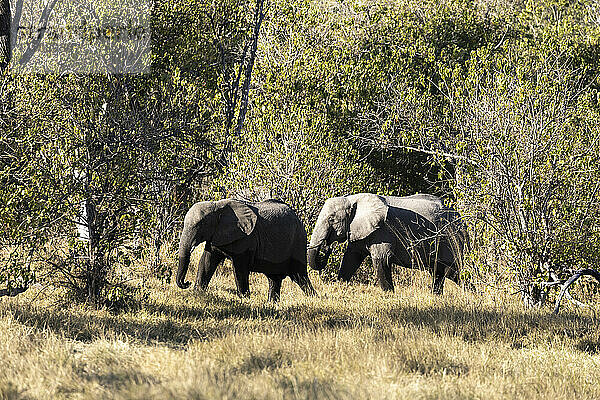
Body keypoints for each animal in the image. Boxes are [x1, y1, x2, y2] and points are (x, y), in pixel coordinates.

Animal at [176, 198, 316, 302]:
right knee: (274, 279)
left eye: (200, 225)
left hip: (297, 242)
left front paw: (244, 299)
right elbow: (207, 261)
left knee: (300, 276)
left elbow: (240, 268)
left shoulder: (246, 238)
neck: (217, 206)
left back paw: (313, 299)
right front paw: (197, 292)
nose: (186, 282)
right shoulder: (216, 235)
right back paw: (272, 303)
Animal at [310, 193, 468, 294]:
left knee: (451, 271)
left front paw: (389, 295)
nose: (327, 247)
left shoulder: (383, 231)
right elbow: (351, 258)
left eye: (331, 219)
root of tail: (461, 218)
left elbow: (382, 260)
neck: (352, 199)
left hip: (450, 240)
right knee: (440, 272)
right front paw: (341, 286)